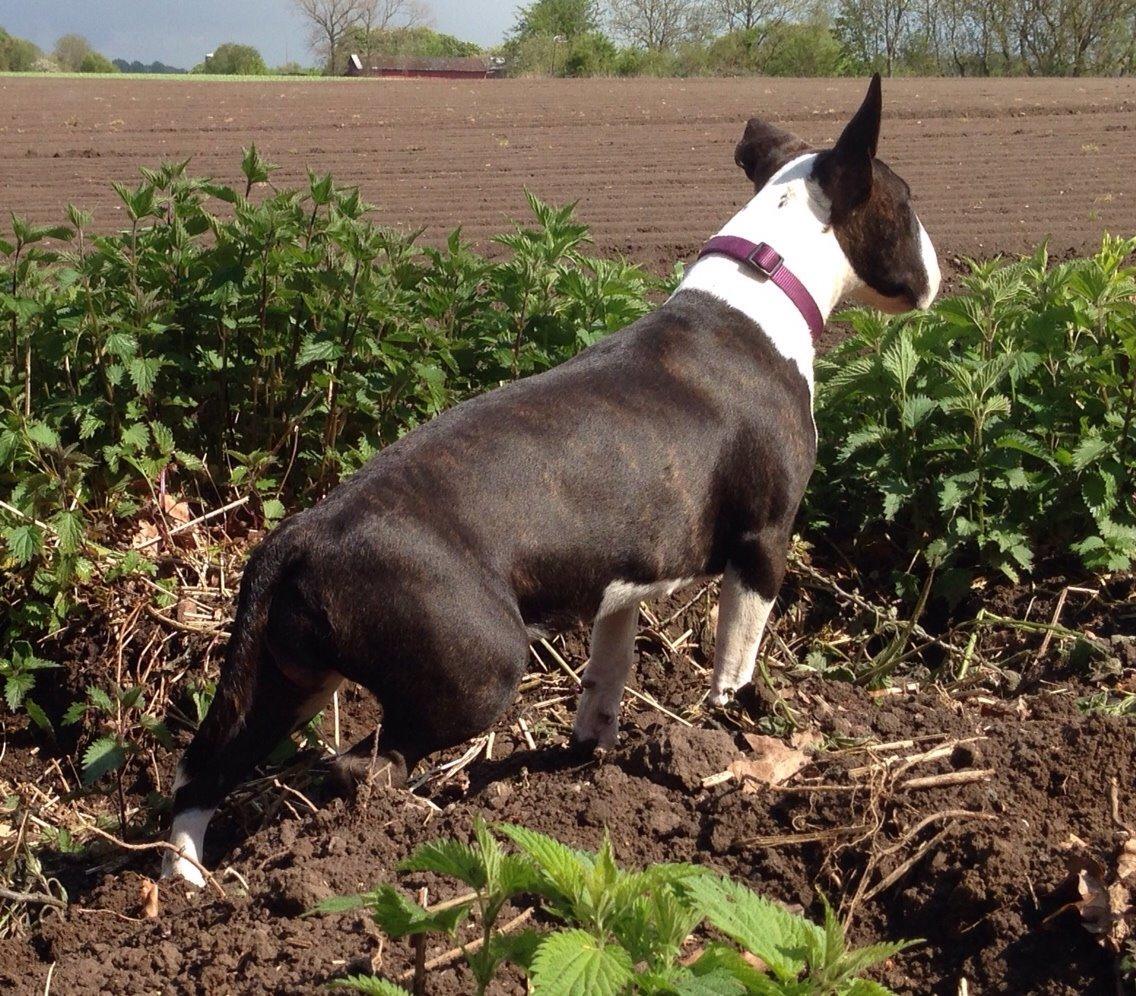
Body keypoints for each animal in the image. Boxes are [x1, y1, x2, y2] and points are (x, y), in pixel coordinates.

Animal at [162, 77, 940, 885]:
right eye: (908, 202)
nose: (936, 270)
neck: (762, 284)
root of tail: (301, 537)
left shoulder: (622, 586)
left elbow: (608, 671)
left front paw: (591, 757)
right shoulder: (762, 545)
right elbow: (735, 659)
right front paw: (732, 733)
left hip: (283, 680)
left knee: (204, 769)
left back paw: (185, 886)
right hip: (477, 670)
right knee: (361, 766)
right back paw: (405, 832)